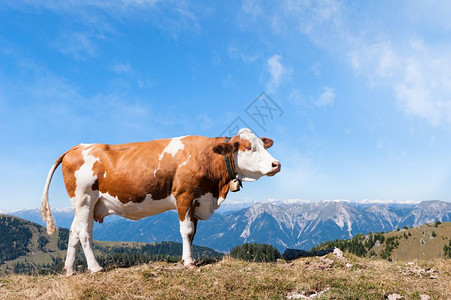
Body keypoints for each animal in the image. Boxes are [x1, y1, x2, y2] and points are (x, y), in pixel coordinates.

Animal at [40, 127, 280, 276]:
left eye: (263, 145)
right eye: (249, 147)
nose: (276, 164)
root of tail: (77, 147)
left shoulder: (198, 201)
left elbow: (193, 233)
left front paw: (188, 259)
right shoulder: (184, 196)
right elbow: (186, 231)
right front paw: (189, 263)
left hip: (87, 204)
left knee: (73, 233)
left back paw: (70, 270)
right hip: (84, 199)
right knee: (84, 234)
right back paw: (96, 268)